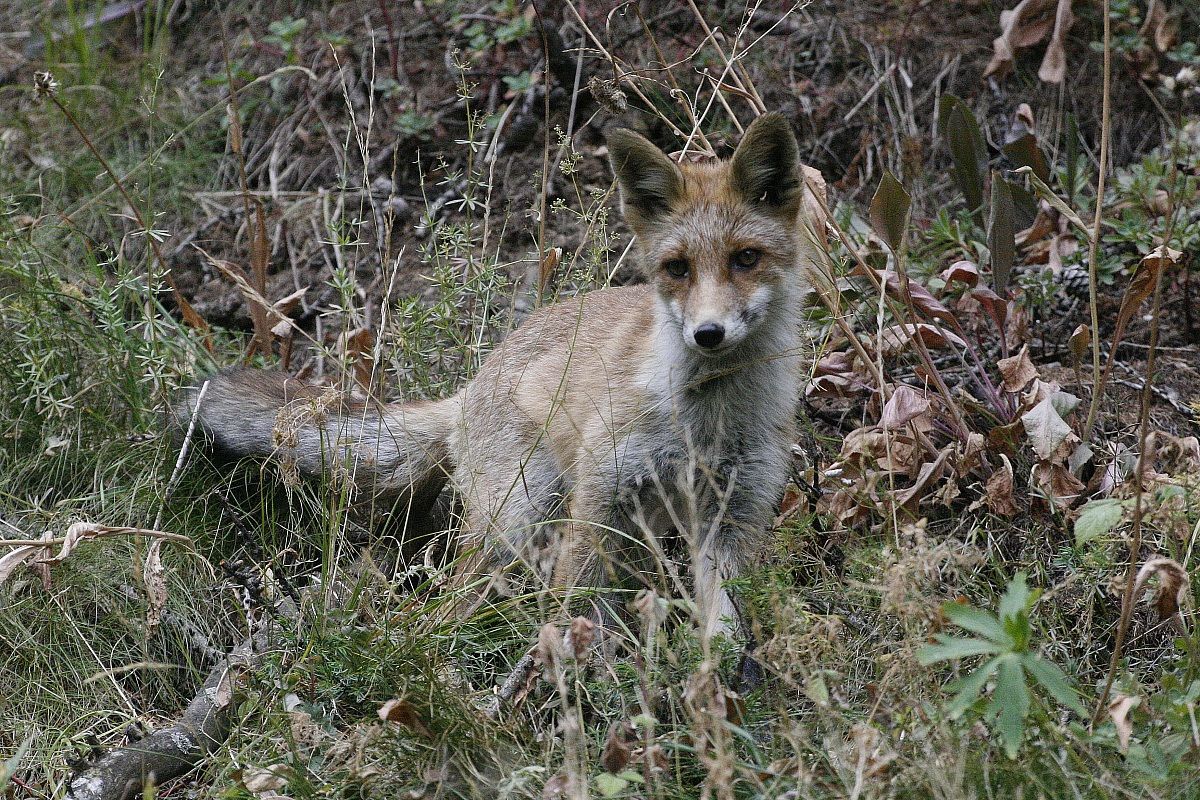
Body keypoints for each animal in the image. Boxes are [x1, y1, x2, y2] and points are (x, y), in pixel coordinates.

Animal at [179, 113, 819, 639]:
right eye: (678, 268)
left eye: (745, 259)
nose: (708, 333)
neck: (706, 422)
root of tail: (473, 384)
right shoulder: (603, 492)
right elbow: (576, 605)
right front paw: (577, 679)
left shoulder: (734, 516)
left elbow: (723, 625)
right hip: (518, 519)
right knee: (446, 606)